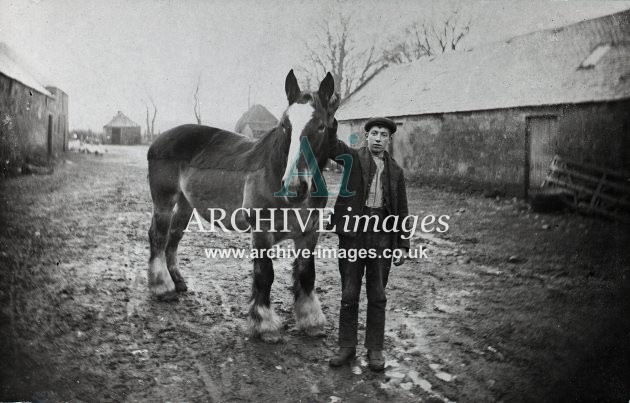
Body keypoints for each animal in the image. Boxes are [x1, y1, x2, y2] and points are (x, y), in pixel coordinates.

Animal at [146, 71, 340, 342]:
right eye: (285, 125)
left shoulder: (309, 233)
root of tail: (159, 140)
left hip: (186, 204)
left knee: (173, 238)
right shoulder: (261, 233)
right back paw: (162, 287)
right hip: (164, 200)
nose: (294, 187)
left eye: (321, 125)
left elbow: (306, 274)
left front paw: (311, 321)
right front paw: (265, 325)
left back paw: (178, 282)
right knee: (159, 237)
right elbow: (265, 274)